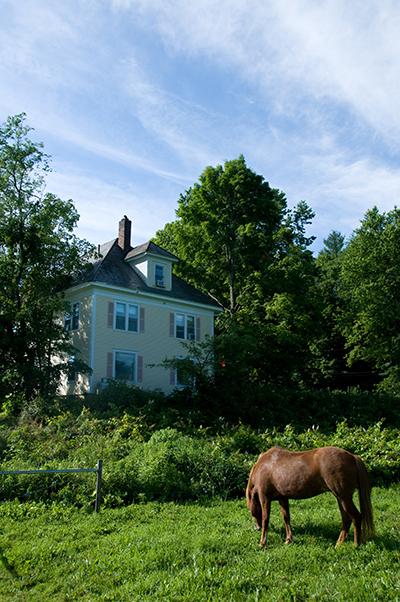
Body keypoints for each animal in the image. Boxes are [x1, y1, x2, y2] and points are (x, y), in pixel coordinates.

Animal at [247, 442, 376, 548]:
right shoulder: (282, 498)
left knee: (356, 517)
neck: (264, 465)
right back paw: (339, 543)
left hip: (344, 498)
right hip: (340, 498)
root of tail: (352, 457)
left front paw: (263, 543)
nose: (257, 527)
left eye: (250, 509)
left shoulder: (264, 497)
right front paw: (289, 539)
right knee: (346, 519)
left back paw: (356, 544)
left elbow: (266, 519)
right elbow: (286, 517)